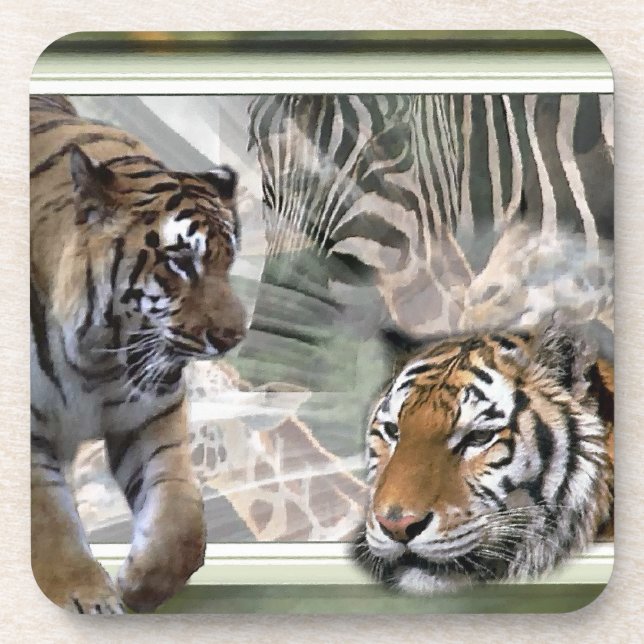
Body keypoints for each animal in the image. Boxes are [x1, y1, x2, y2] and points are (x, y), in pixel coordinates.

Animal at [30, 95, 247, 613]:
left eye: (229, 259)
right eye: (181, 262)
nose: (234, 336)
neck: (96, 354)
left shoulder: (151, 417)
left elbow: (181, 523)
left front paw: (138, 586)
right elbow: (50, 520)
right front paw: (88, 597)